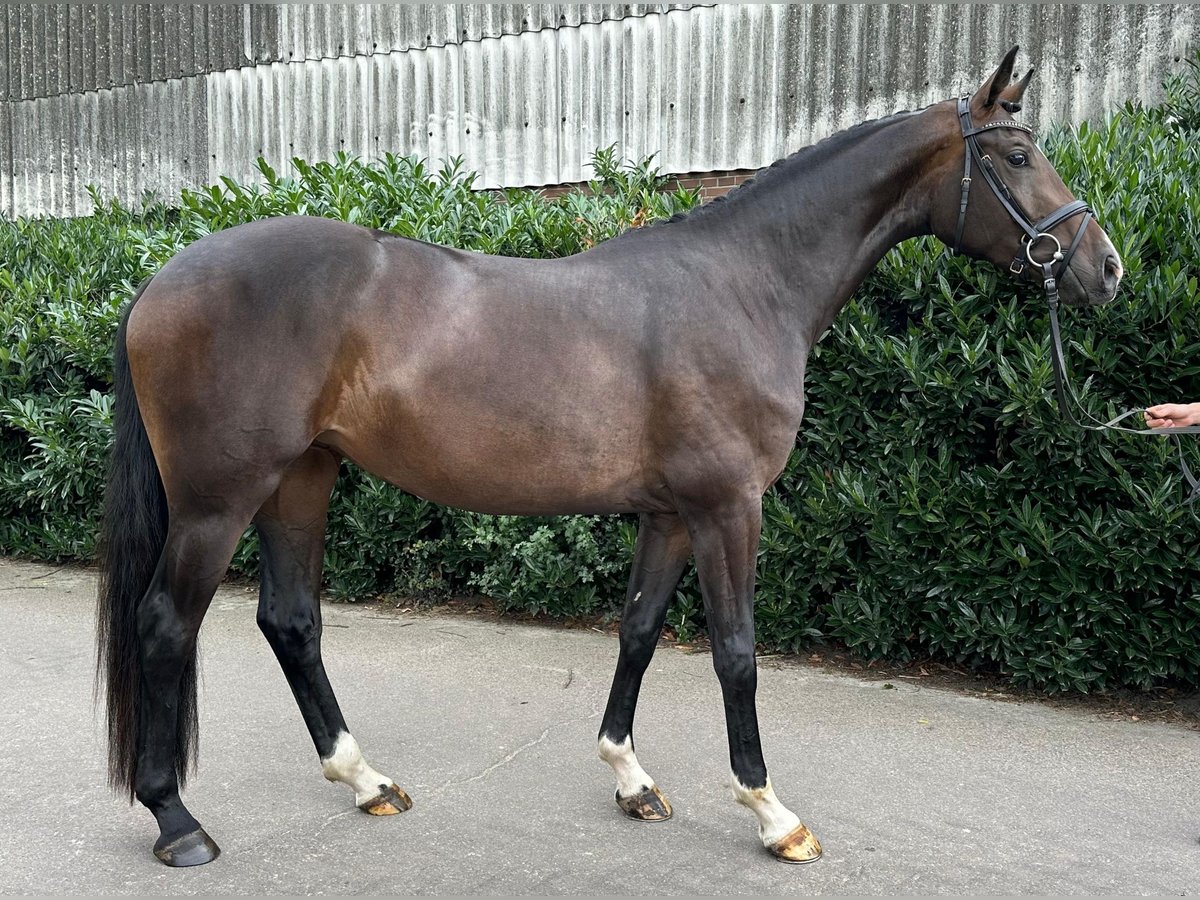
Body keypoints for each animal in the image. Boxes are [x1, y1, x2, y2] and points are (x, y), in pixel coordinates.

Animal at [98, 47, 1118, 868]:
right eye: (1018, 156)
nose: (1103, 268)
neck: (744, 284)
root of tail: (159, 281)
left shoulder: (671, 512)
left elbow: (638, 631)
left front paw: (631, 778)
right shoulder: (729, 508)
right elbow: (736, 654)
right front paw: (773, 816)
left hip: (301, 479)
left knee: (291, 621)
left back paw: (365, 780)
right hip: (219, 500)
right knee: (164, 624)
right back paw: (177, 821)